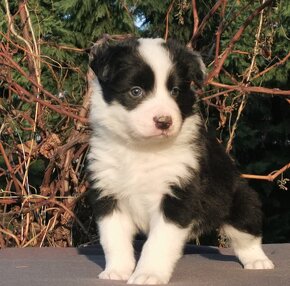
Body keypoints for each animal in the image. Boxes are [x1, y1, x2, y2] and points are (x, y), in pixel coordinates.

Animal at [86, 37, 274, 284]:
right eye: (136, 91)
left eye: (175, 91)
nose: (164, 121)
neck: (142, 149)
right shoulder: (108, 193)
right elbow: (113, 239)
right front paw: (117, 270)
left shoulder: (178, 194)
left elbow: (157, 243)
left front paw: (148, 274)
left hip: (240, 200)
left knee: (247, 235)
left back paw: (258, 261)